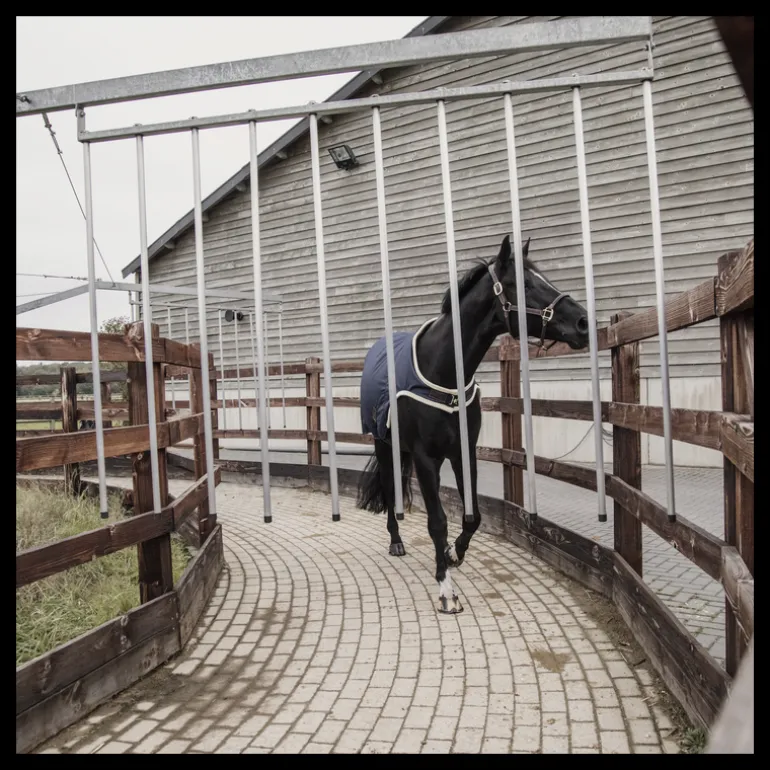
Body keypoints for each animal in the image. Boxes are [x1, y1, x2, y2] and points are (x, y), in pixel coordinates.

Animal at [356, 233, 589, 614]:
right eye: (525, 285)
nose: (583, 322)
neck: (443, 371)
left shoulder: (463, 453)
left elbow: (473, 516)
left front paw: (453, 554)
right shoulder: (424, 458)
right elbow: (437, 522)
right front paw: (446, 589)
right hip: (385, 443)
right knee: (390, 490)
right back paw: (396, 542)